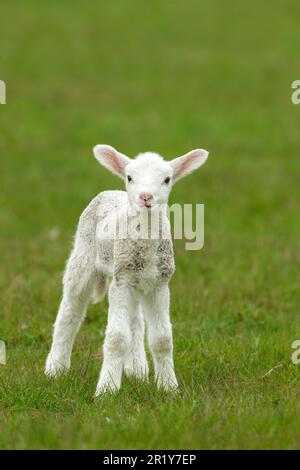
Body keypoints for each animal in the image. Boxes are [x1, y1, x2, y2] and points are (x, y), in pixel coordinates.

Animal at [45, 145, 209, 394]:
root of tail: (111, 191)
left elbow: (162, 340)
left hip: (136, 279)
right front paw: (107, 389)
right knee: (70, 310)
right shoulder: (121, 282)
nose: (146, 196)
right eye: (130, 177)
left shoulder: (160, 284)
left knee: (135, 320)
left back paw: (137, 369)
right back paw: (55, 368)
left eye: (167, 179)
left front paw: (169, 387)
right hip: (84, 257)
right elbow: (116, 339)